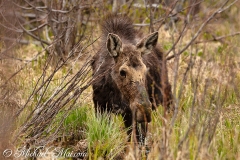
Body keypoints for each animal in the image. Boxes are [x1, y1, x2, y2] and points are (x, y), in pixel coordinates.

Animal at [91, 14, 172, 143]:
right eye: (122, 72)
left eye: (146, 70)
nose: (144, 110)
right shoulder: (100, 107)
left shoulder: (130, 114)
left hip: (165, 92)